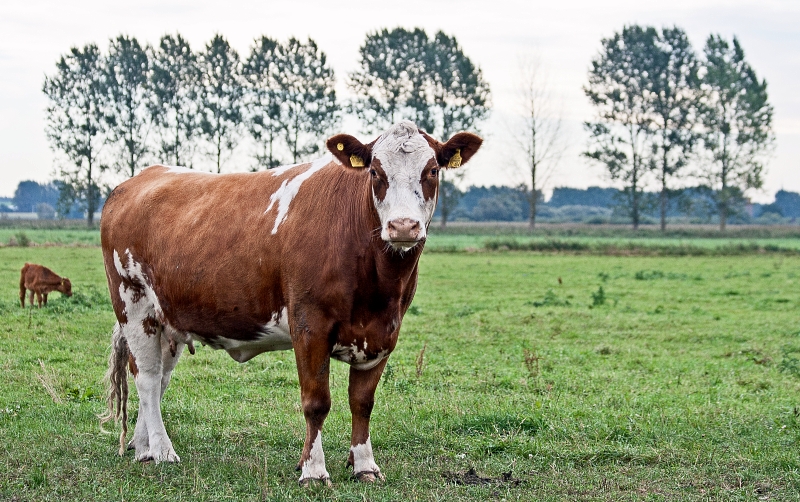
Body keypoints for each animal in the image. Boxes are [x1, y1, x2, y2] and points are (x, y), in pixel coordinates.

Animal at [100, 119, 482, 484]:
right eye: (375, 172)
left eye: (432, 171)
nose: (403, 226)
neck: (377, 284)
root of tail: (140, 178)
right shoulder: (310, 325)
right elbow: (316, 403)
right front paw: (313, 470)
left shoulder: (383, 332)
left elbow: (362, 402)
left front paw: (364, 466)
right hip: (134, 304)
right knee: (148, 377)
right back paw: (163, 451)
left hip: (168, 319)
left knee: (158, 378)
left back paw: (143, 446)